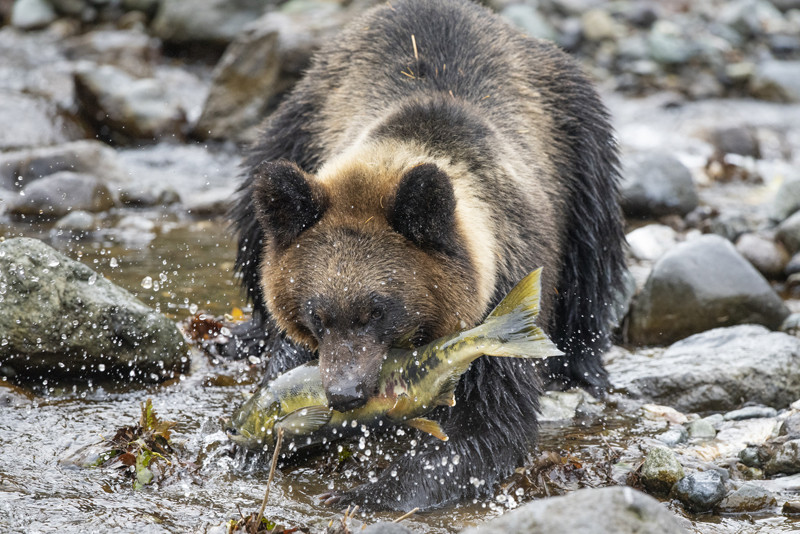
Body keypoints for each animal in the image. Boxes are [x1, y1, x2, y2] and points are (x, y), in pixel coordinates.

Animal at [223, 0, 624, 512]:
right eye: (317, 313)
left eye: (378, 310)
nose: (345, 393)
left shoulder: (498, 292)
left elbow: (488, 423)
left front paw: (364, 491)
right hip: (300, 118)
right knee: (255, 213)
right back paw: (244, 333)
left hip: (579, 147)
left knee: (591, 259)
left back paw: (581, 367)